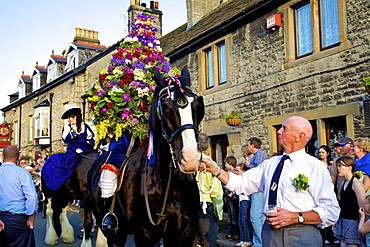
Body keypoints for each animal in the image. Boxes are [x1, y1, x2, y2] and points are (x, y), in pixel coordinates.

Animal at [88, 66, 205, 246]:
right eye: (165, 106)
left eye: (198, 106)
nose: (190, 158)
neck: (170, 186)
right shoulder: (144, 235)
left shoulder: (184, 234)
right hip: (114, 232)